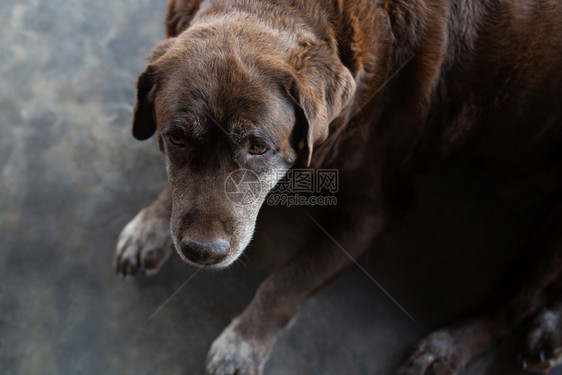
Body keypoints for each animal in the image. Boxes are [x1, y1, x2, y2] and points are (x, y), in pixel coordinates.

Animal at [112, 0, 560, 374]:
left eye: (257, 146)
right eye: (176, 138)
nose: (202, 252)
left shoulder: (374, 210)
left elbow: (289, 279)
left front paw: (242, 344)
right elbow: (177, 192)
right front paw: (150, 224)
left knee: (521, 300)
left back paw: (452, 347)